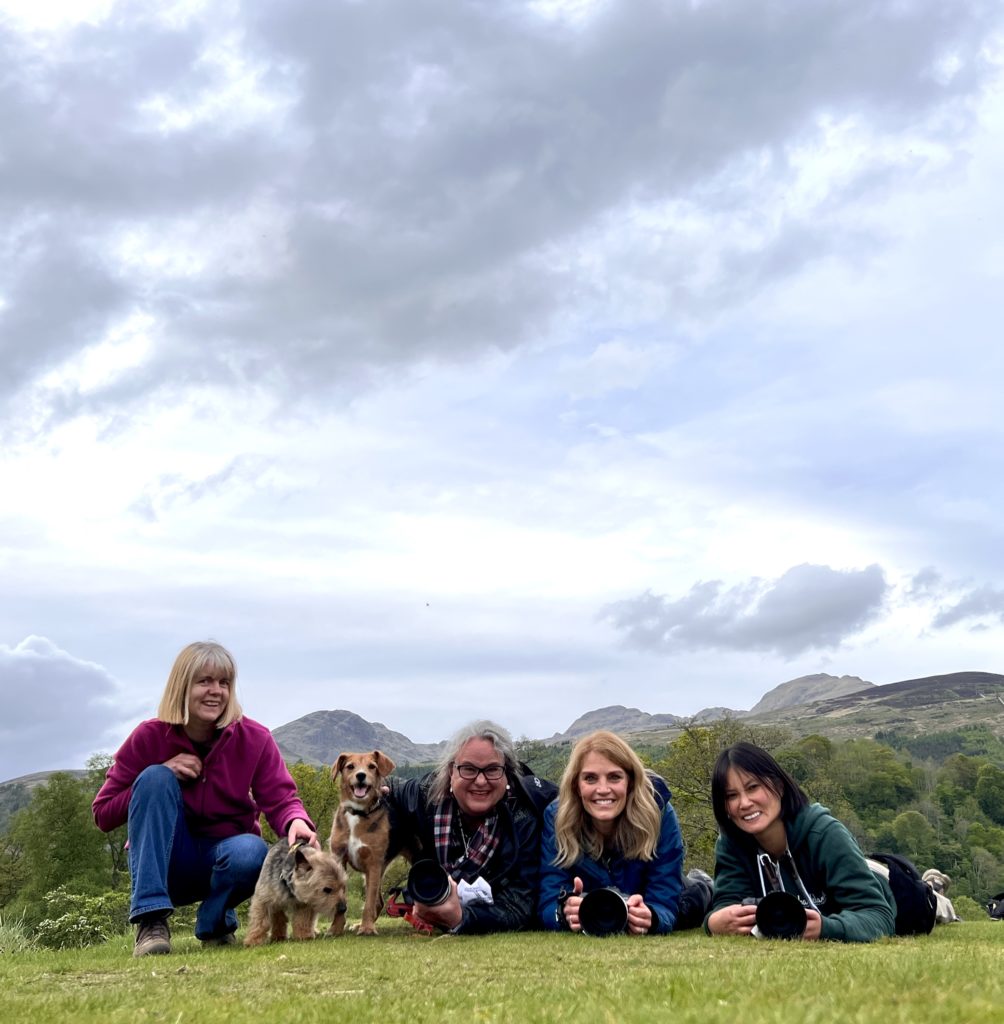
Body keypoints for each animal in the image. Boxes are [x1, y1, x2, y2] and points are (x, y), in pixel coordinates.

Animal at [333, 753, 403, 937]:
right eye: (350, 766)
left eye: (372, 766)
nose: (361, 775)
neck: (357, 813)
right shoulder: (338, 858)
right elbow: (341, 901)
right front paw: (335, 928)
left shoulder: (373, 864)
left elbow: (369, 903)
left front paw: (367, 928)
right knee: (379, 902)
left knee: (376, 902)